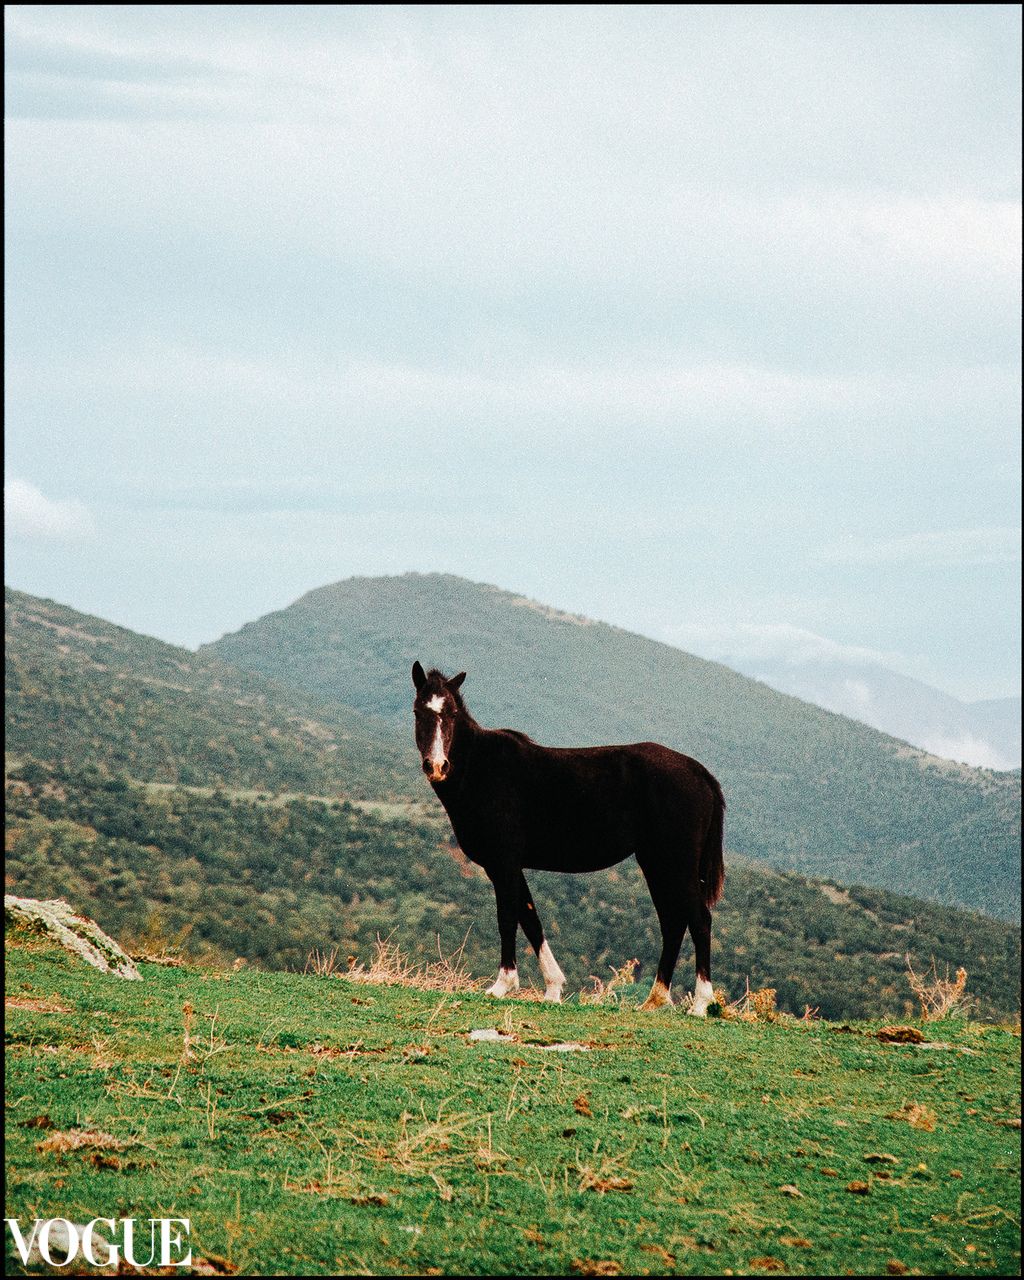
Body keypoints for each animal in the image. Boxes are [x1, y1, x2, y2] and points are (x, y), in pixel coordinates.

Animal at [411, 662, 725, 1013]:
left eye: (451, 713)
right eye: (418, 712)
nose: (437, 766)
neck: (481, 769)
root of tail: (699, 772)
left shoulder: (503, 863)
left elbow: (508, 917)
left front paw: (502, 985)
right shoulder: (510, 866)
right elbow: (530, 919)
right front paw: (553, 987)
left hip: (676, 864)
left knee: (699, 920)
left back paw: (701, 1003)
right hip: (656, 864)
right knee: (673, 923)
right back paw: (655, 999)